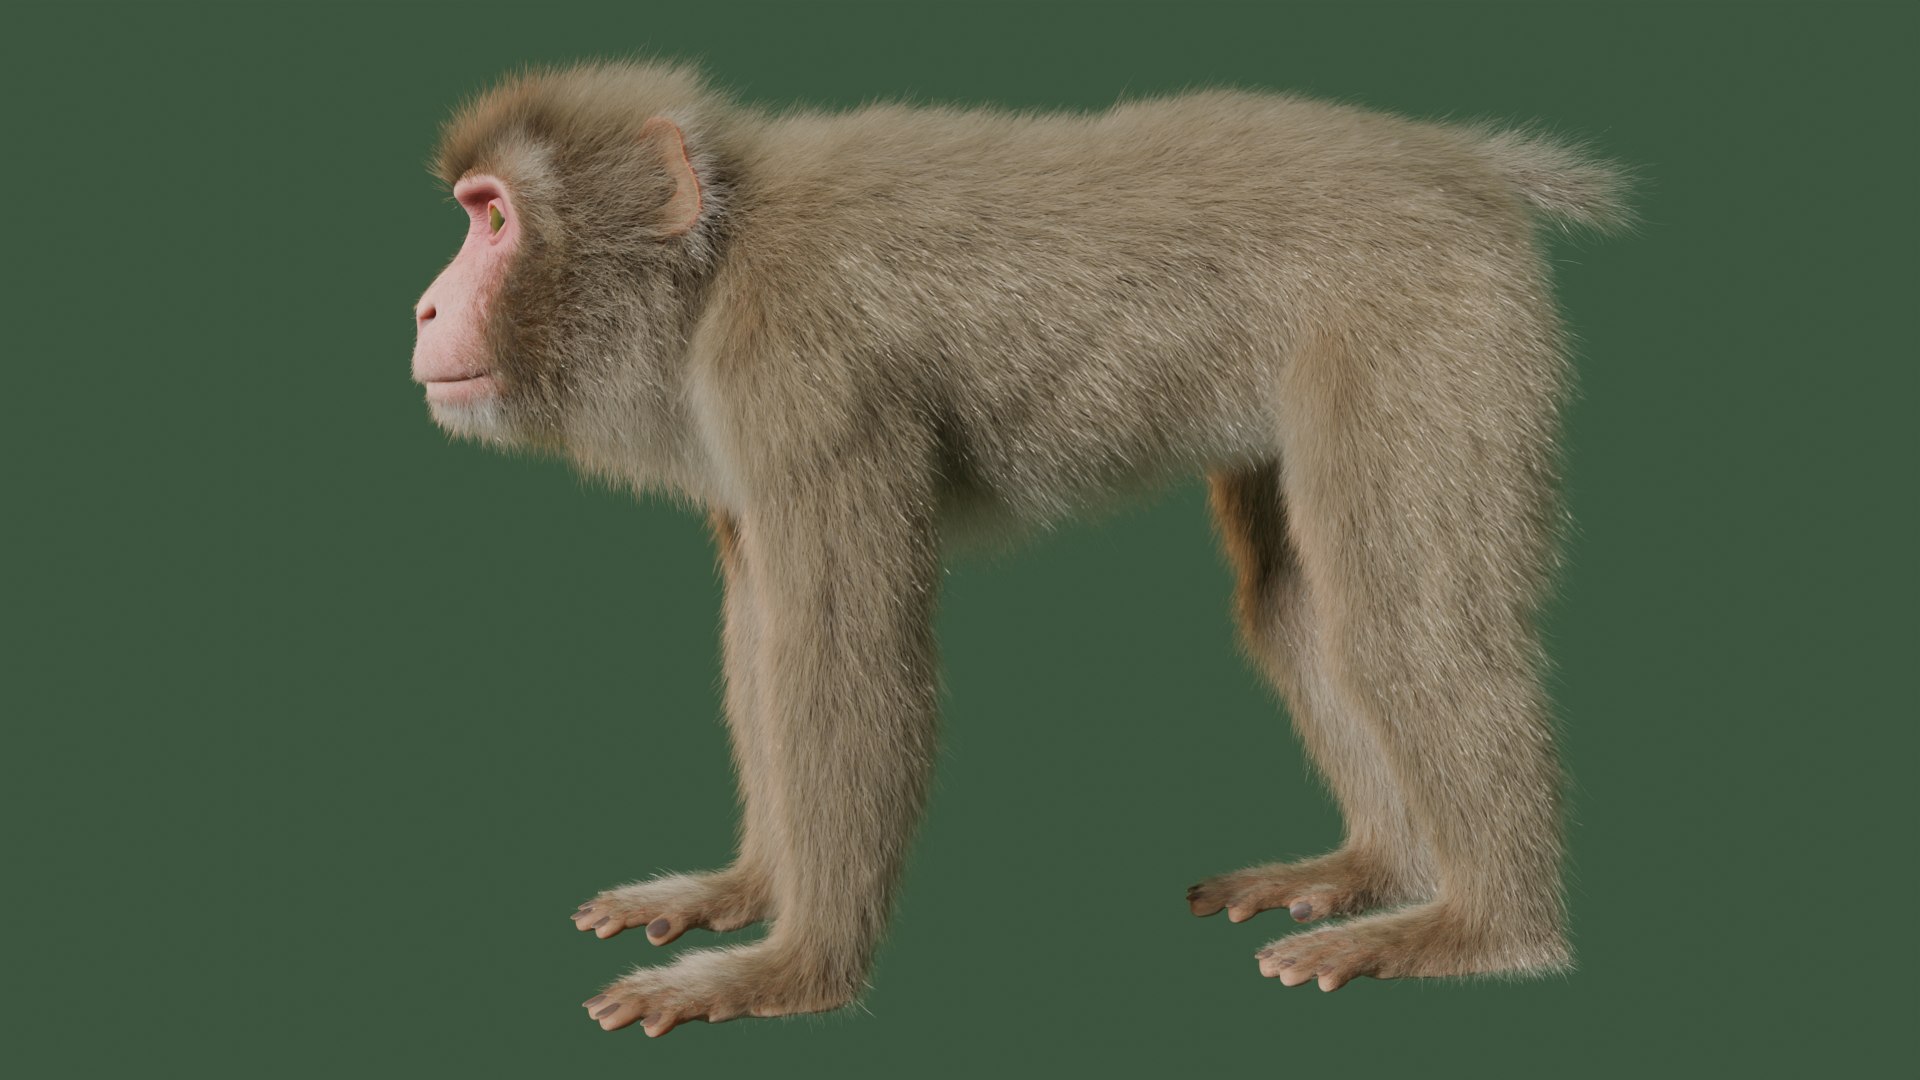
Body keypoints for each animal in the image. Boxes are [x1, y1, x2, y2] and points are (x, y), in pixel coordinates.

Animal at [409, 59, 1632, 1036]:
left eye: (494, 220)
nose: (423, 308)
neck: (720, 259)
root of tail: (1455, 159)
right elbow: (768, 625)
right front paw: (746, 888)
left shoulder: (802, 370)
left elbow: (848, 655)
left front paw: (792, 971)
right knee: (1302, 606)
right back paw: (1381, 867)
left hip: (1431, 317)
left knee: (1401, 622)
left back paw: (1487, 928)